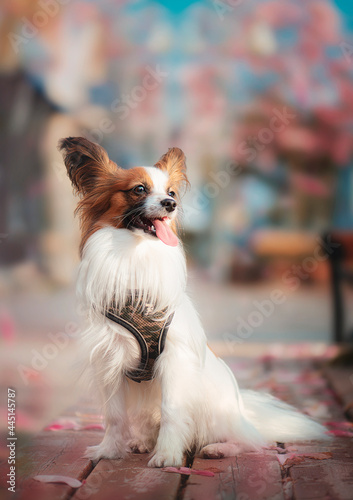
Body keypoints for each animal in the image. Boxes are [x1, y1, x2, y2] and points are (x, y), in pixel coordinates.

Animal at [59, 137, 326, 468]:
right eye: (139, 189)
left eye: (171, 193)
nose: (170, 205)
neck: (135, 254)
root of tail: (243, 409)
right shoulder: (110, 360)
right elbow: (114, 415)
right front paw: (109, 450)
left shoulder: (175, 359)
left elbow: (172, 411)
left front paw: (168, 455)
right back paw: (143, 442)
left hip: (216, 407)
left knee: (249, 441)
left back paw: (220, 448)